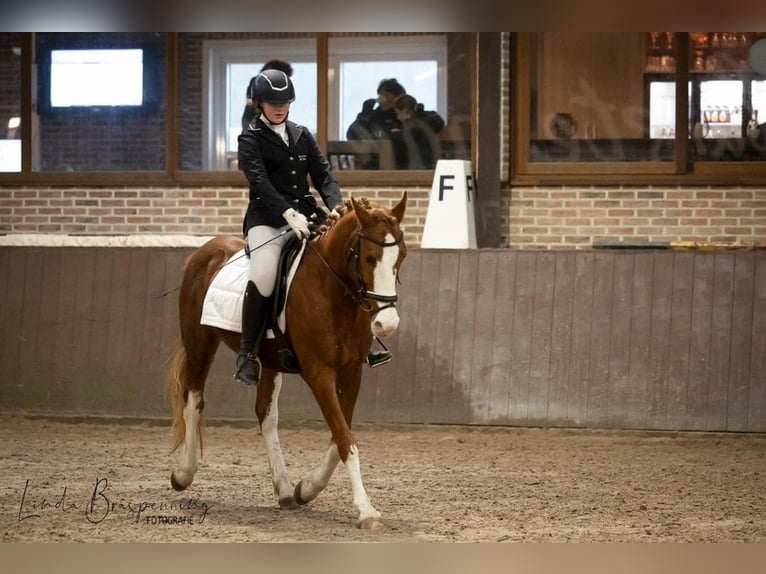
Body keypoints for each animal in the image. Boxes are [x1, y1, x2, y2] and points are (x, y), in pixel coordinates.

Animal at [166, 195, 412, 532]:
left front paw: (306, 489)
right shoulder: (319, 373)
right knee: (193, 399)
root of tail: (207, 249)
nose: (387, 325)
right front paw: (366, 510)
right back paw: (183, 474)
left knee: (266, 415)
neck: (332, 290)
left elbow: (340, 436)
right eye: (369, 258)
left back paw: (284, 491)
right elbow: (344, 438)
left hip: (268, 360)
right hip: (199, 341)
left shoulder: (352, 372)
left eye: (401, 256)